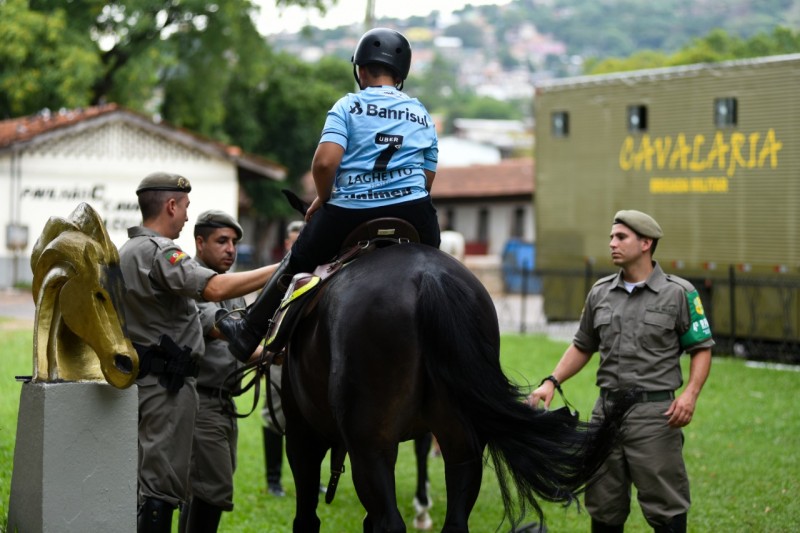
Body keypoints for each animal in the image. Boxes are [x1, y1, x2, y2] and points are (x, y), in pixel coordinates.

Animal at [280, 242, 624, 532]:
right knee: (455, 519)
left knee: (389, 521)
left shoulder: (302, 434)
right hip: (461, 442)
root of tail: (428, 278)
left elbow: (306, 517)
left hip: (369, 446)